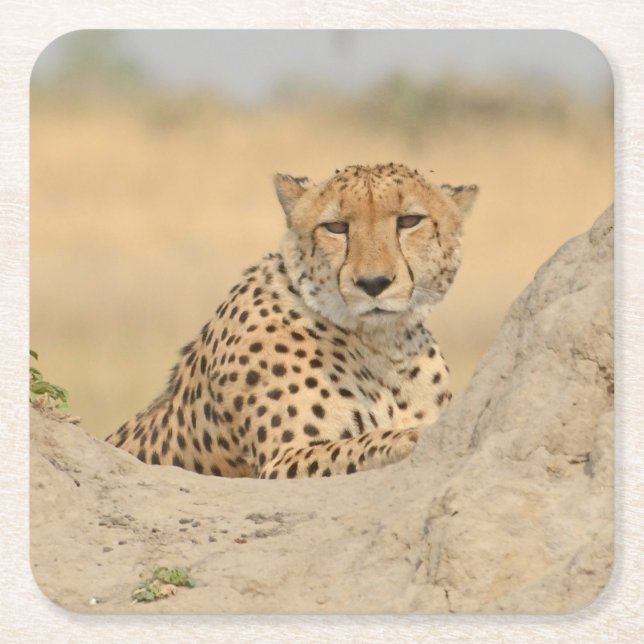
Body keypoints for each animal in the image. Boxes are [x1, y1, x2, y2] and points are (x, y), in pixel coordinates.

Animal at [105, 163, 478, 479]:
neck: (383, 345)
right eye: (335, 227)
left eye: (409, 221)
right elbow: (362, 444)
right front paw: (411, 437)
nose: (373, 283)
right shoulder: (281, 462)